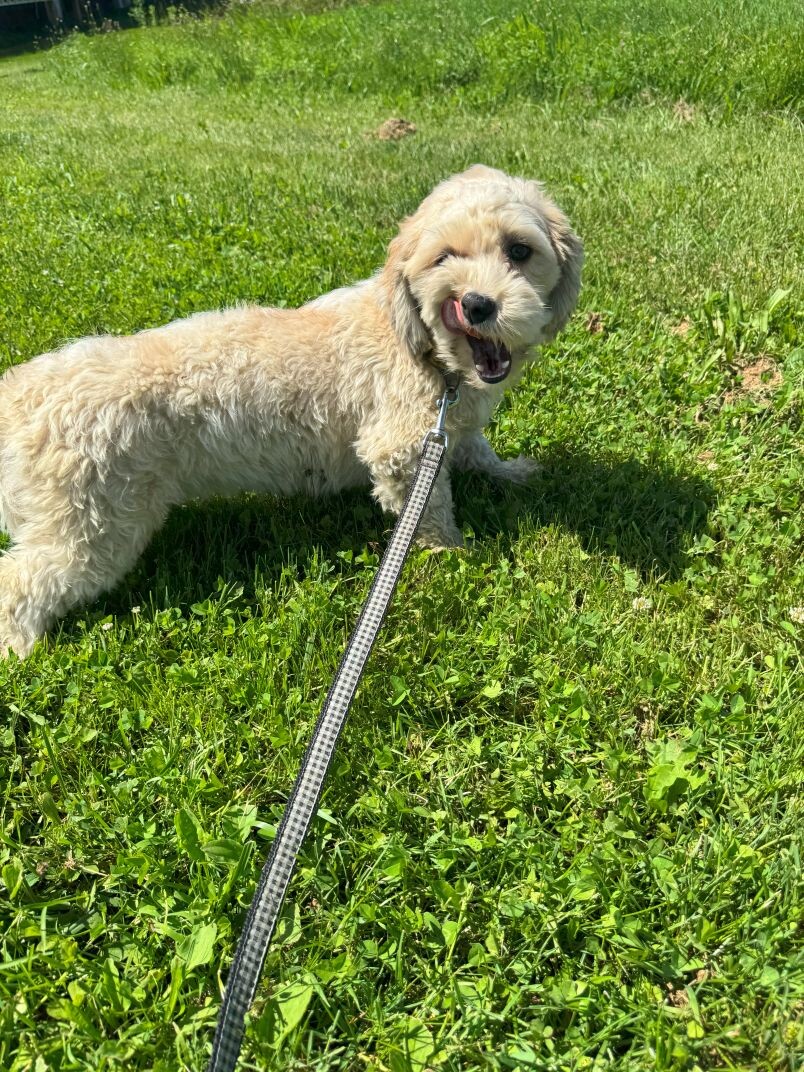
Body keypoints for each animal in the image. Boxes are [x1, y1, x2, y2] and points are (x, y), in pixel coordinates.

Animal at [0, 164, 582, 658]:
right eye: (444, 258)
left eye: (519, 250)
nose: (478, 304)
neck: (428, 353)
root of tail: (18, 395)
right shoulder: (401, 451)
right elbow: (432, 512)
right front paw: (454, 557)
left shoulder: (450, 424)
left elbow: (477, 448)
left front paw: (509, 471)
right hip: (93, 528)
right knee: (20, 583)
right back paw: (19, 649)